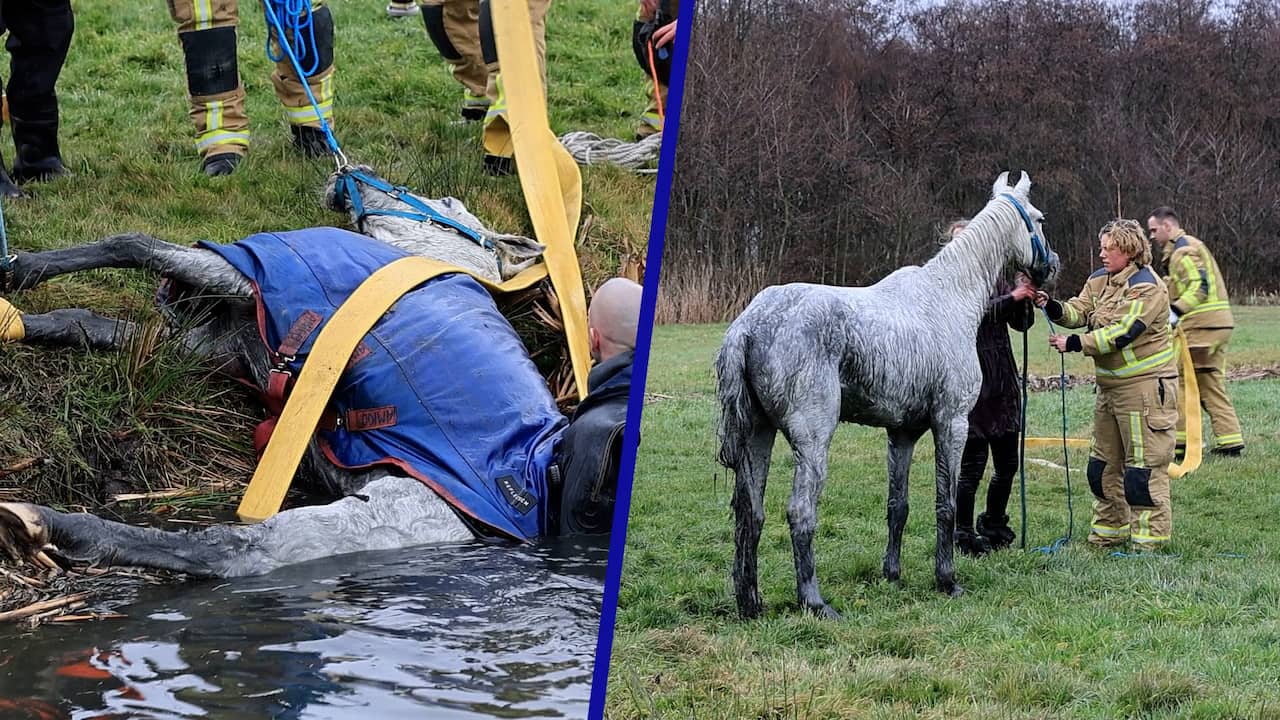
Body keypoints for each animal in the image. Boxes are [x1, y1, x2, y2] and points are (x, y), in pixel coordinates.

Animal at [0, 171, 572, 577]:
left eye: (447, 204)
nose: (354, 173)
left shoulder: (244, 274)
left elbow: (135, 243)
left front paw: (22, 268)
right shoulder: (219, 347)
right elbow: (89, 322)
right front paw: (21, 319)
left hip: (366, 518)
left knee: (232, 548)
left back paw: (53, 526)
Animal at [715, 171, 1058, 619]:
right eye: (1039, 218)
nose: (1052, 266)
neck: (947, 298)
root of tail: (750, 324)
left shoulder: (903, 434)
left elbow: (899, 506)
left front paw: (892, 574)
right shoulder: (952, 425)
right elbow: (947, 504)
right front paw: (947, 580)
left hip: (759, 435)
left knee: (749, 513)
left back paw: (750, 602)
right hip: (812, 442)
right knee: (800, 513)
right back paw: (814, 602)